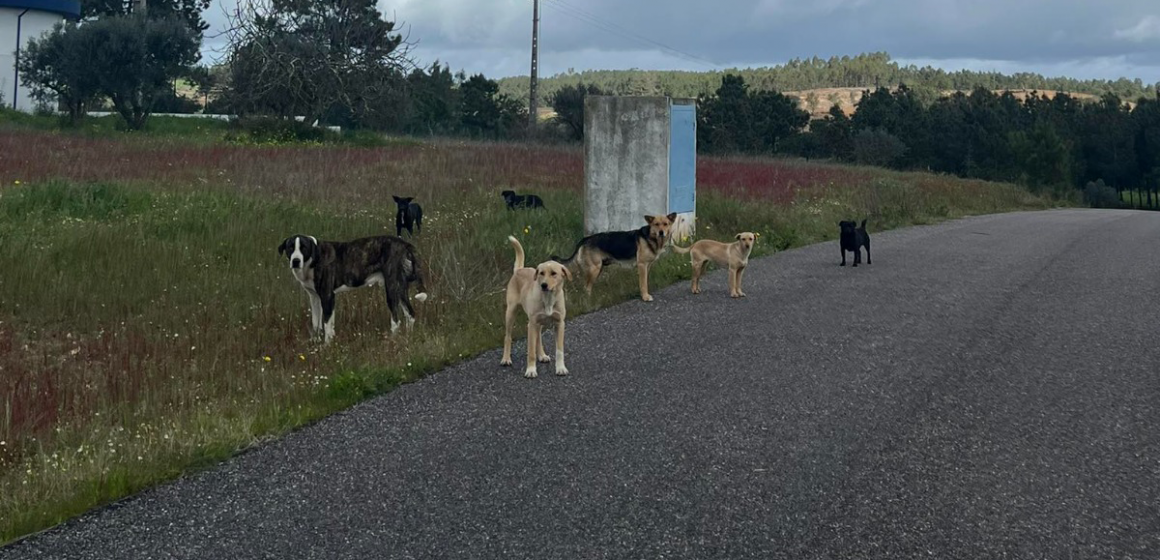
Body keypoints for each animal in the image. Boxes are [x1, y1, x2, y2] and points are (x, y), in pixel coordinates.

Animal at [278, 234, 429, 343]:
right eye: (290, 247)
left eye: (303, 248)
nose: (295, 261)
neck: (314, 258)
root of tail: (405, 245)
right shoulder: (315, 298)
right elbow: (317, 324)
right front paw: (316, 344)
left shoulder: (327, 297)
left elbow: (327, 324)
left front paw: (326, 347)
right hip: (400, 288)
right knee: (410, 314)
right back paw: (407, 338)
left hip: (392, 288)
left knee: (396, 320)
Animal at [498, 234, 570, 380]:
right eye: (541, 273)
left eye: (554, 273)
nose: (543, 285)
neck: (548, 298)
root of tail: (519, 270)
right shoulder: (531, 325)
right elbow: (530, 351)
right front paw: (531, 370)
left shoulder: (560, 324)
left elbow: (559, 350)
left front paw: (561, 368)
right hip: (511, 312)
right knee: (508, 337)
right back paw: (506, 359)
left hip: (538, 322)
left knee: (538, 339)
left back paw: (542, 355)